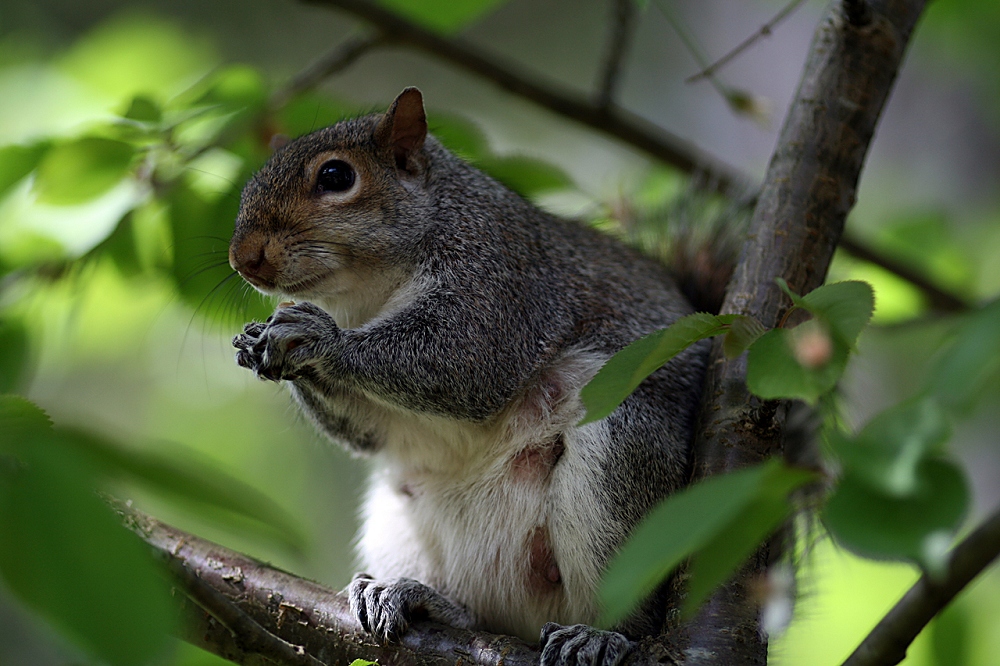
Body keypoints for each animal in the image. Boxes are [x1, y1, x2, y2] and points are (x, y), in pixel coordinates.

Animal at [230, 88, 723, 666]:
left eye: (335, 176)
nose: (243, 258)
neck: (368, 290)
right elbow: (370, 431)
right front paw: (263, 345)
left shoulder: (499, 278)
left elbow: (466, 362)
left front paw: (314, 337)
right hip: (402, 519)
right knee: (477, 613)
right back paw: (417, 597)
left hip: (625, 467)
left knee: (631, 608)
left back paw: (602, 636)